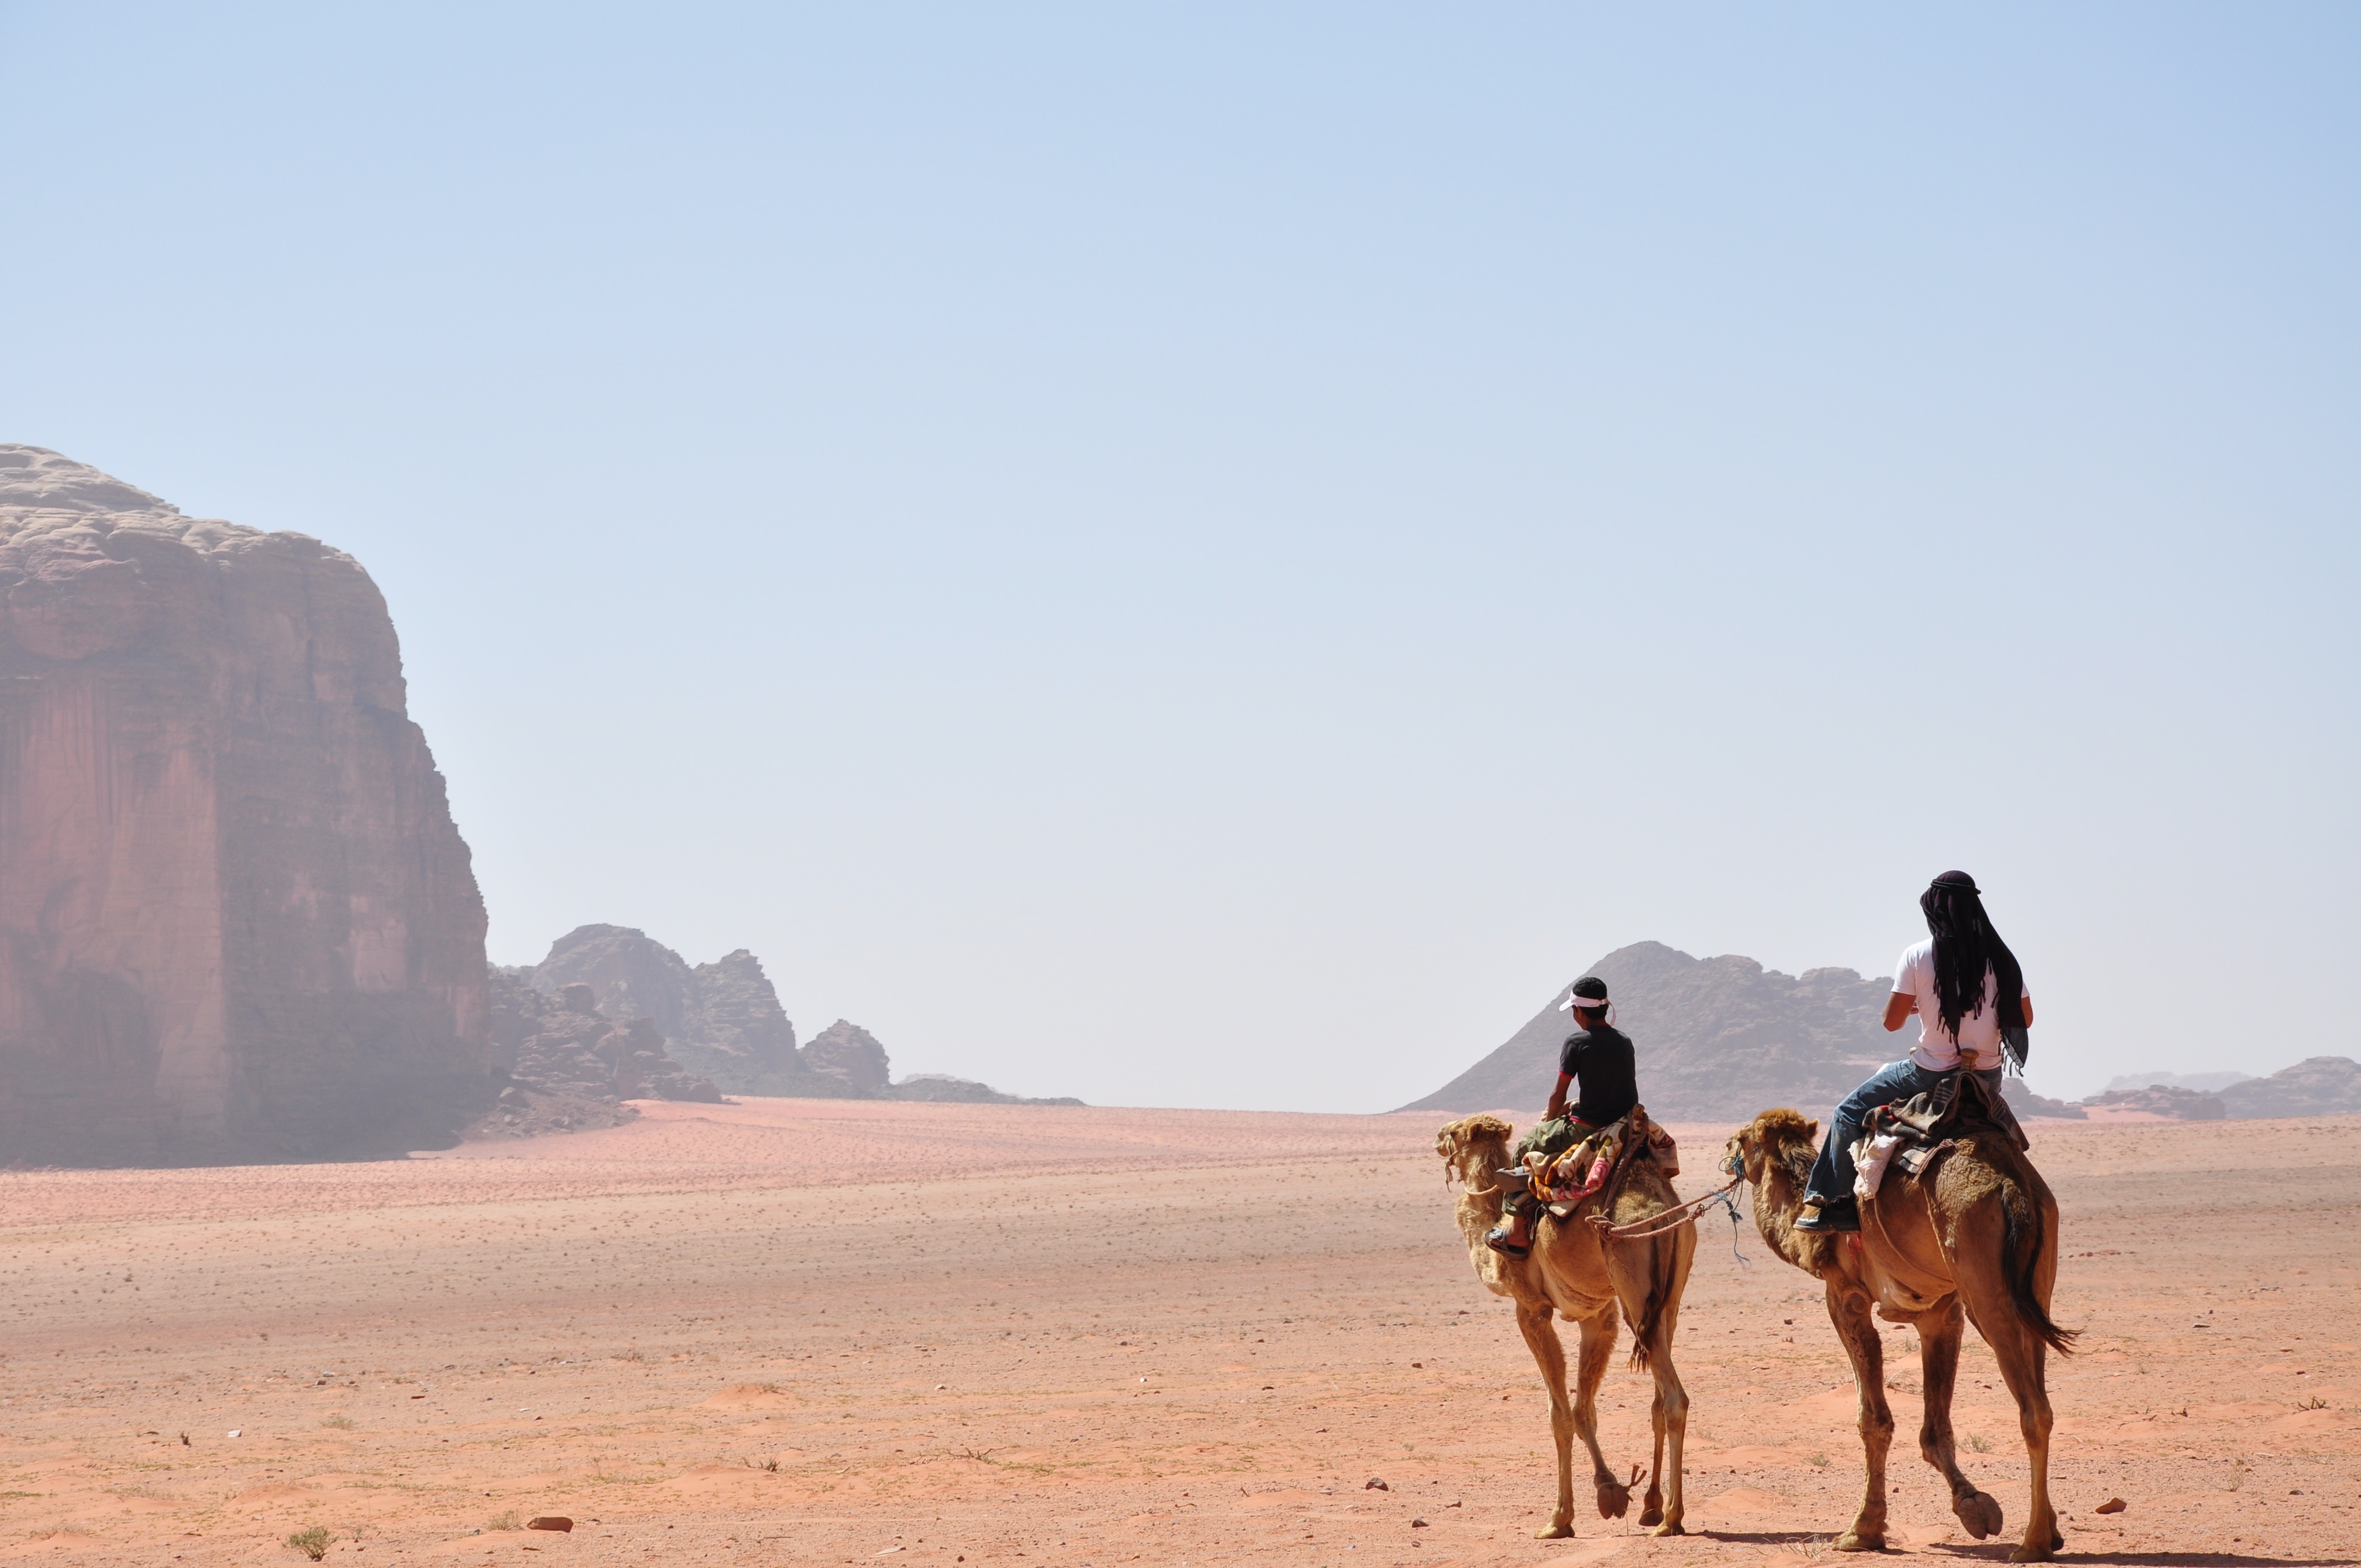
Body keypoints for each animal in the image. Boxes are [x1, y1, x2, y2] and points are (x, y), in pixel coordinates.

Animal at [1435, 1114, 1700, 1539]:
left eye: (1455, 1131)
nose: (1438, 1138)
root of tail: (1663, 1212)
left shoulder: (1532, 1308)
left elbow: (1559, 1414)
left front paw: (1559, 1518)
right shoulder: (1598, 1315)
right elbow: (1583, 1410)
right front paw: (1611, 1492)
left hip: (1634, 1289)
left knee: (1675, 1399)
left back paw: (1672, 1518)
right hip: (1667, 1300)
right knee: (1660, 1400)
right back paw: (1653, 1506)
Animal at [1728, 1109, 2077, 1558]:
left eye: (1743, 1139)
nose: (1726, 1154)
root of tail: (2013, 1185)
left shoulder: (1845, 1297)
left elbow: (1873, 1420)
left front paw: (1862, 1530)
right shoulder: (1939, 1313)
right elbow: (1935, 1429)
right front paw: (1974, 1506)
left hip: (1984, 1285)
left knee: (2033, 1410)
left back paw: (2032, 1545)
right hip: (2036, 1280)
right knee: (2042, 1395)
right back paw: (2048, 1531)